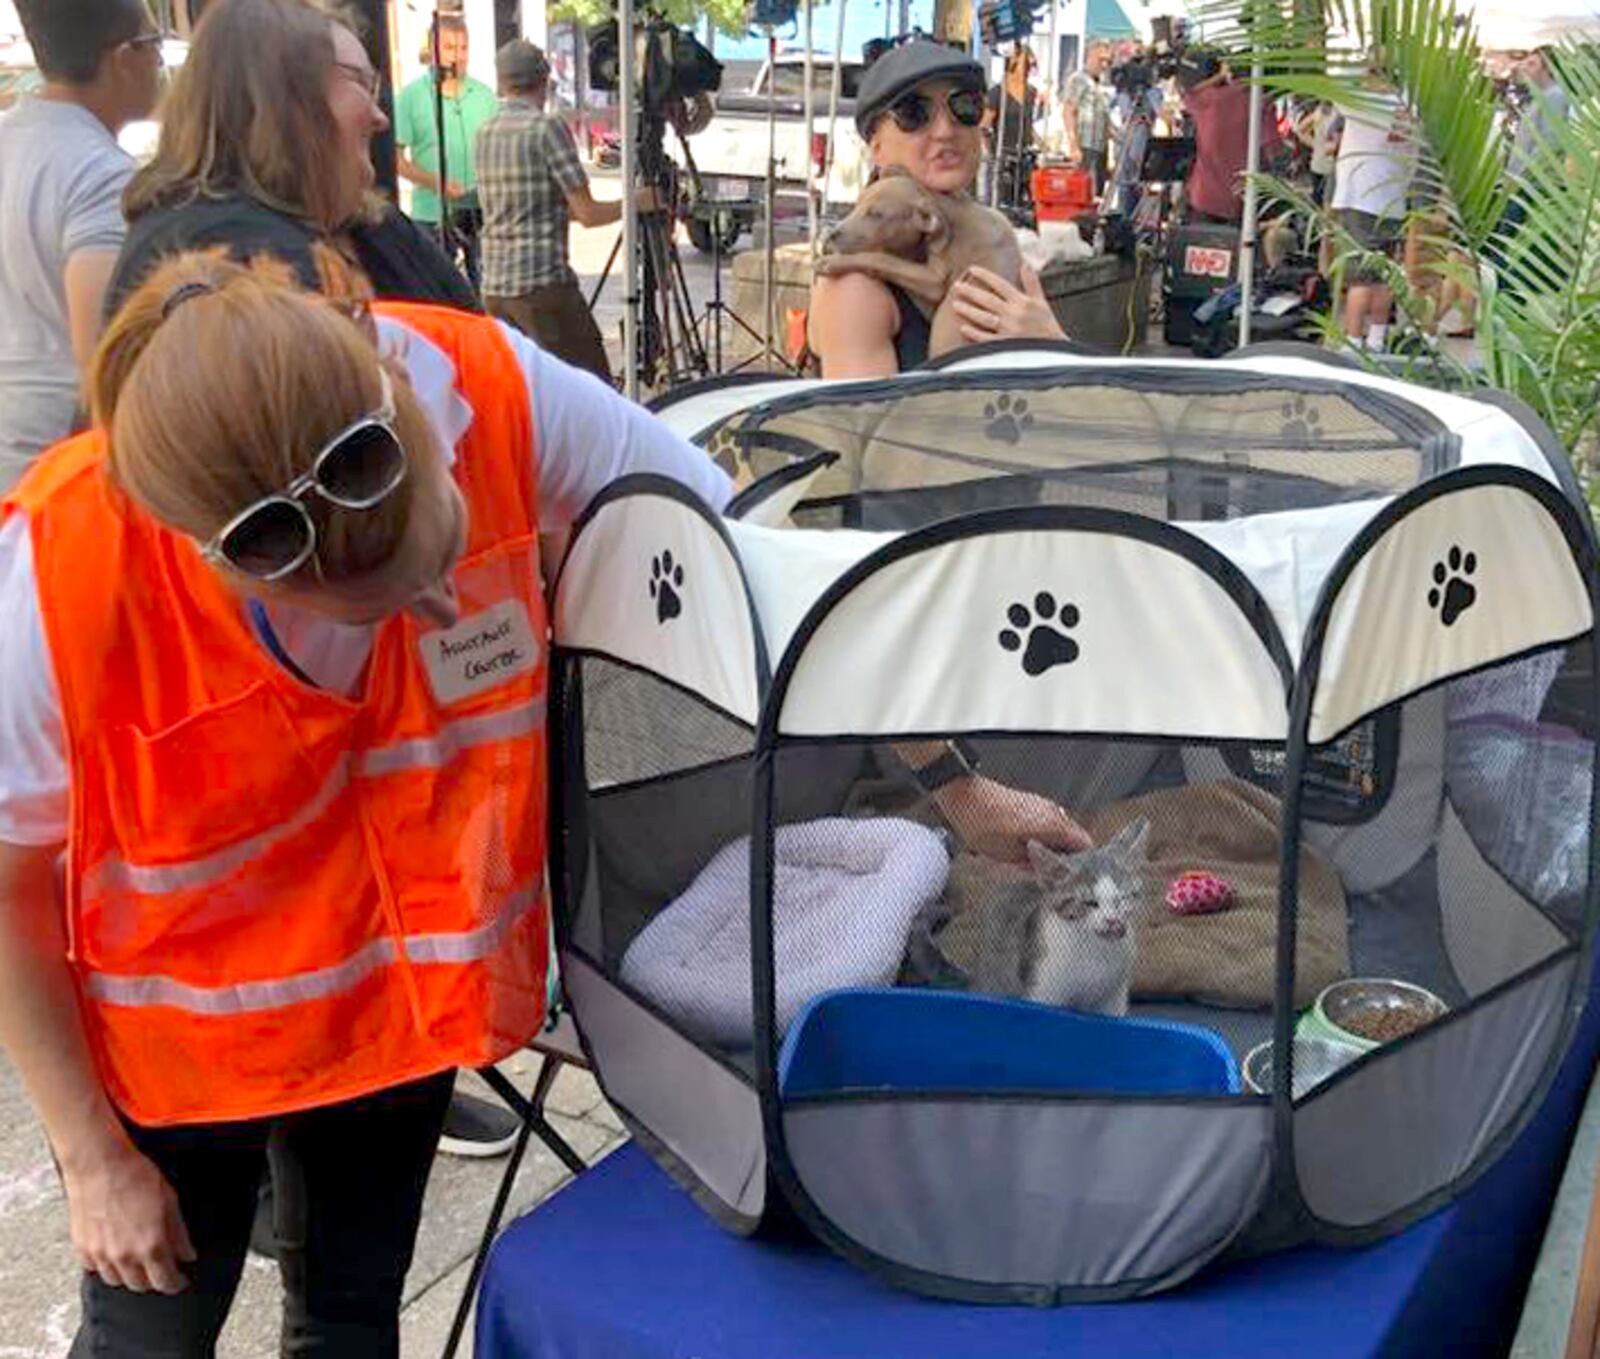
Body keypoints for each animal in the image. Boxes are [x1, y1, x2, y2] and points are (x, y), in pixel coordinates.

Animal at [812, 166, 1024, 358]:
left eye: (876, 215)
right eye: (856, 204)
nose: (830, 236)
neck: (952, 215)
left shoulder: (935, 282)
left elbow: (882, 259)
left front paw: (833, 262)